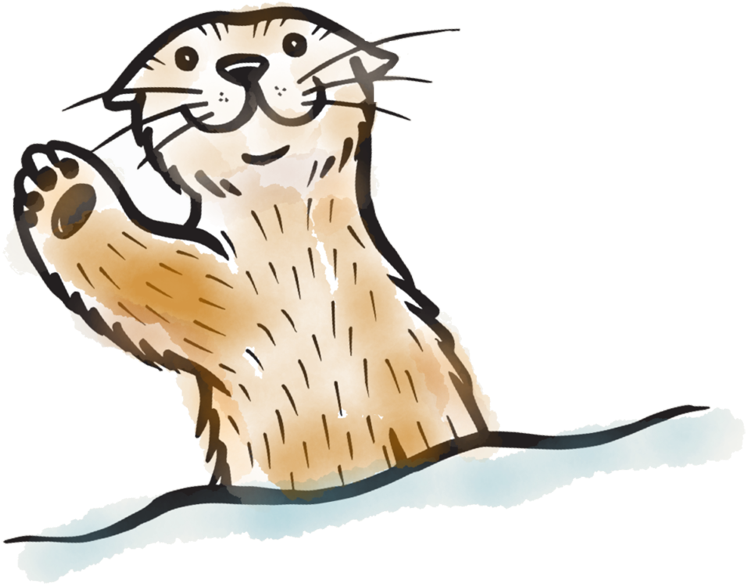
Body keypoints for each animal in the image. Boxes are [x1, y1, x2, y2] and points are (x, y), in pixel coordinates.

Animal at [7, 5, 707, 544]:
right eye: (186, 59)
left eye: (293, 44)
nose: (244, 67)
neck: (290, 267)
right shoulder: (222, 312)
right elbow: (151, 285)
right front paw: (58, 188)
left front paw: (59, 187)